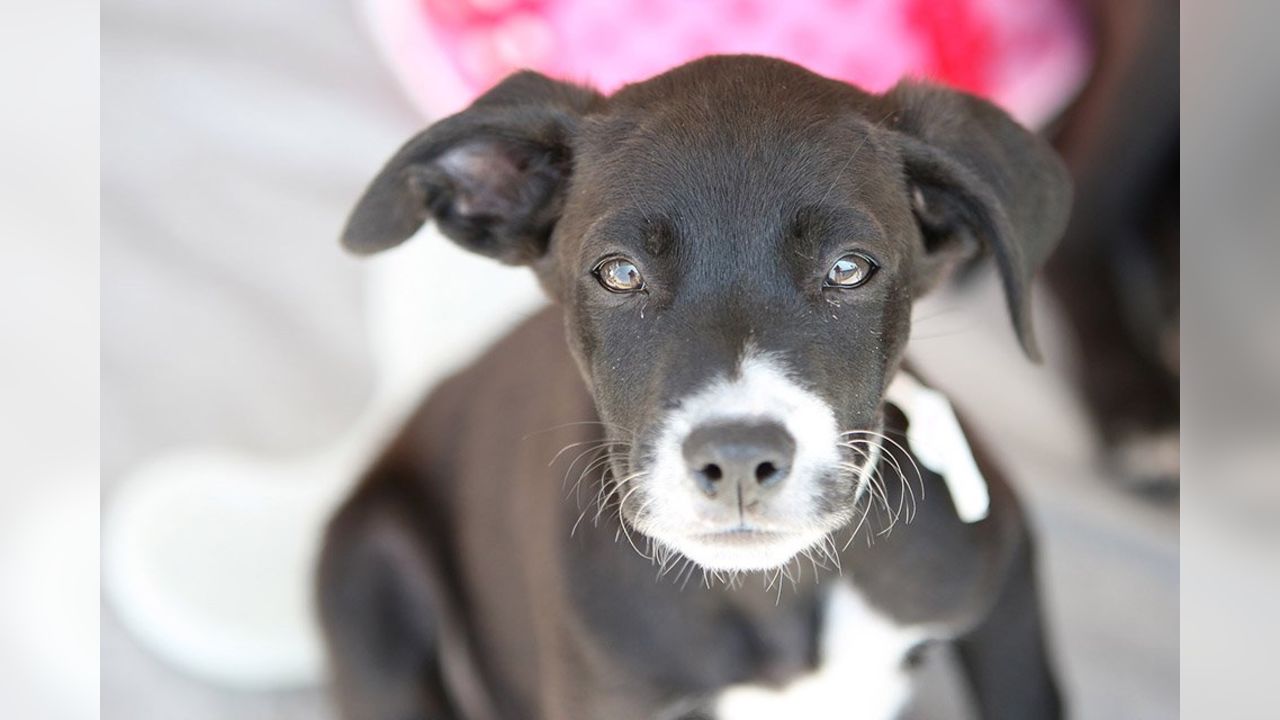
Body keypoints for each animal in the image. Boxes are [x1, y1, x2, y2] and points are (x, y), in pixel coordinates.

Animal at [317, 56, 1070, 717]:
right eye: (620, 273)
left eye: (849, 268)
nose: (738, 460)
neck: (772, 594)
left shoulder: (1004, 583)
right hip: (367, 580)